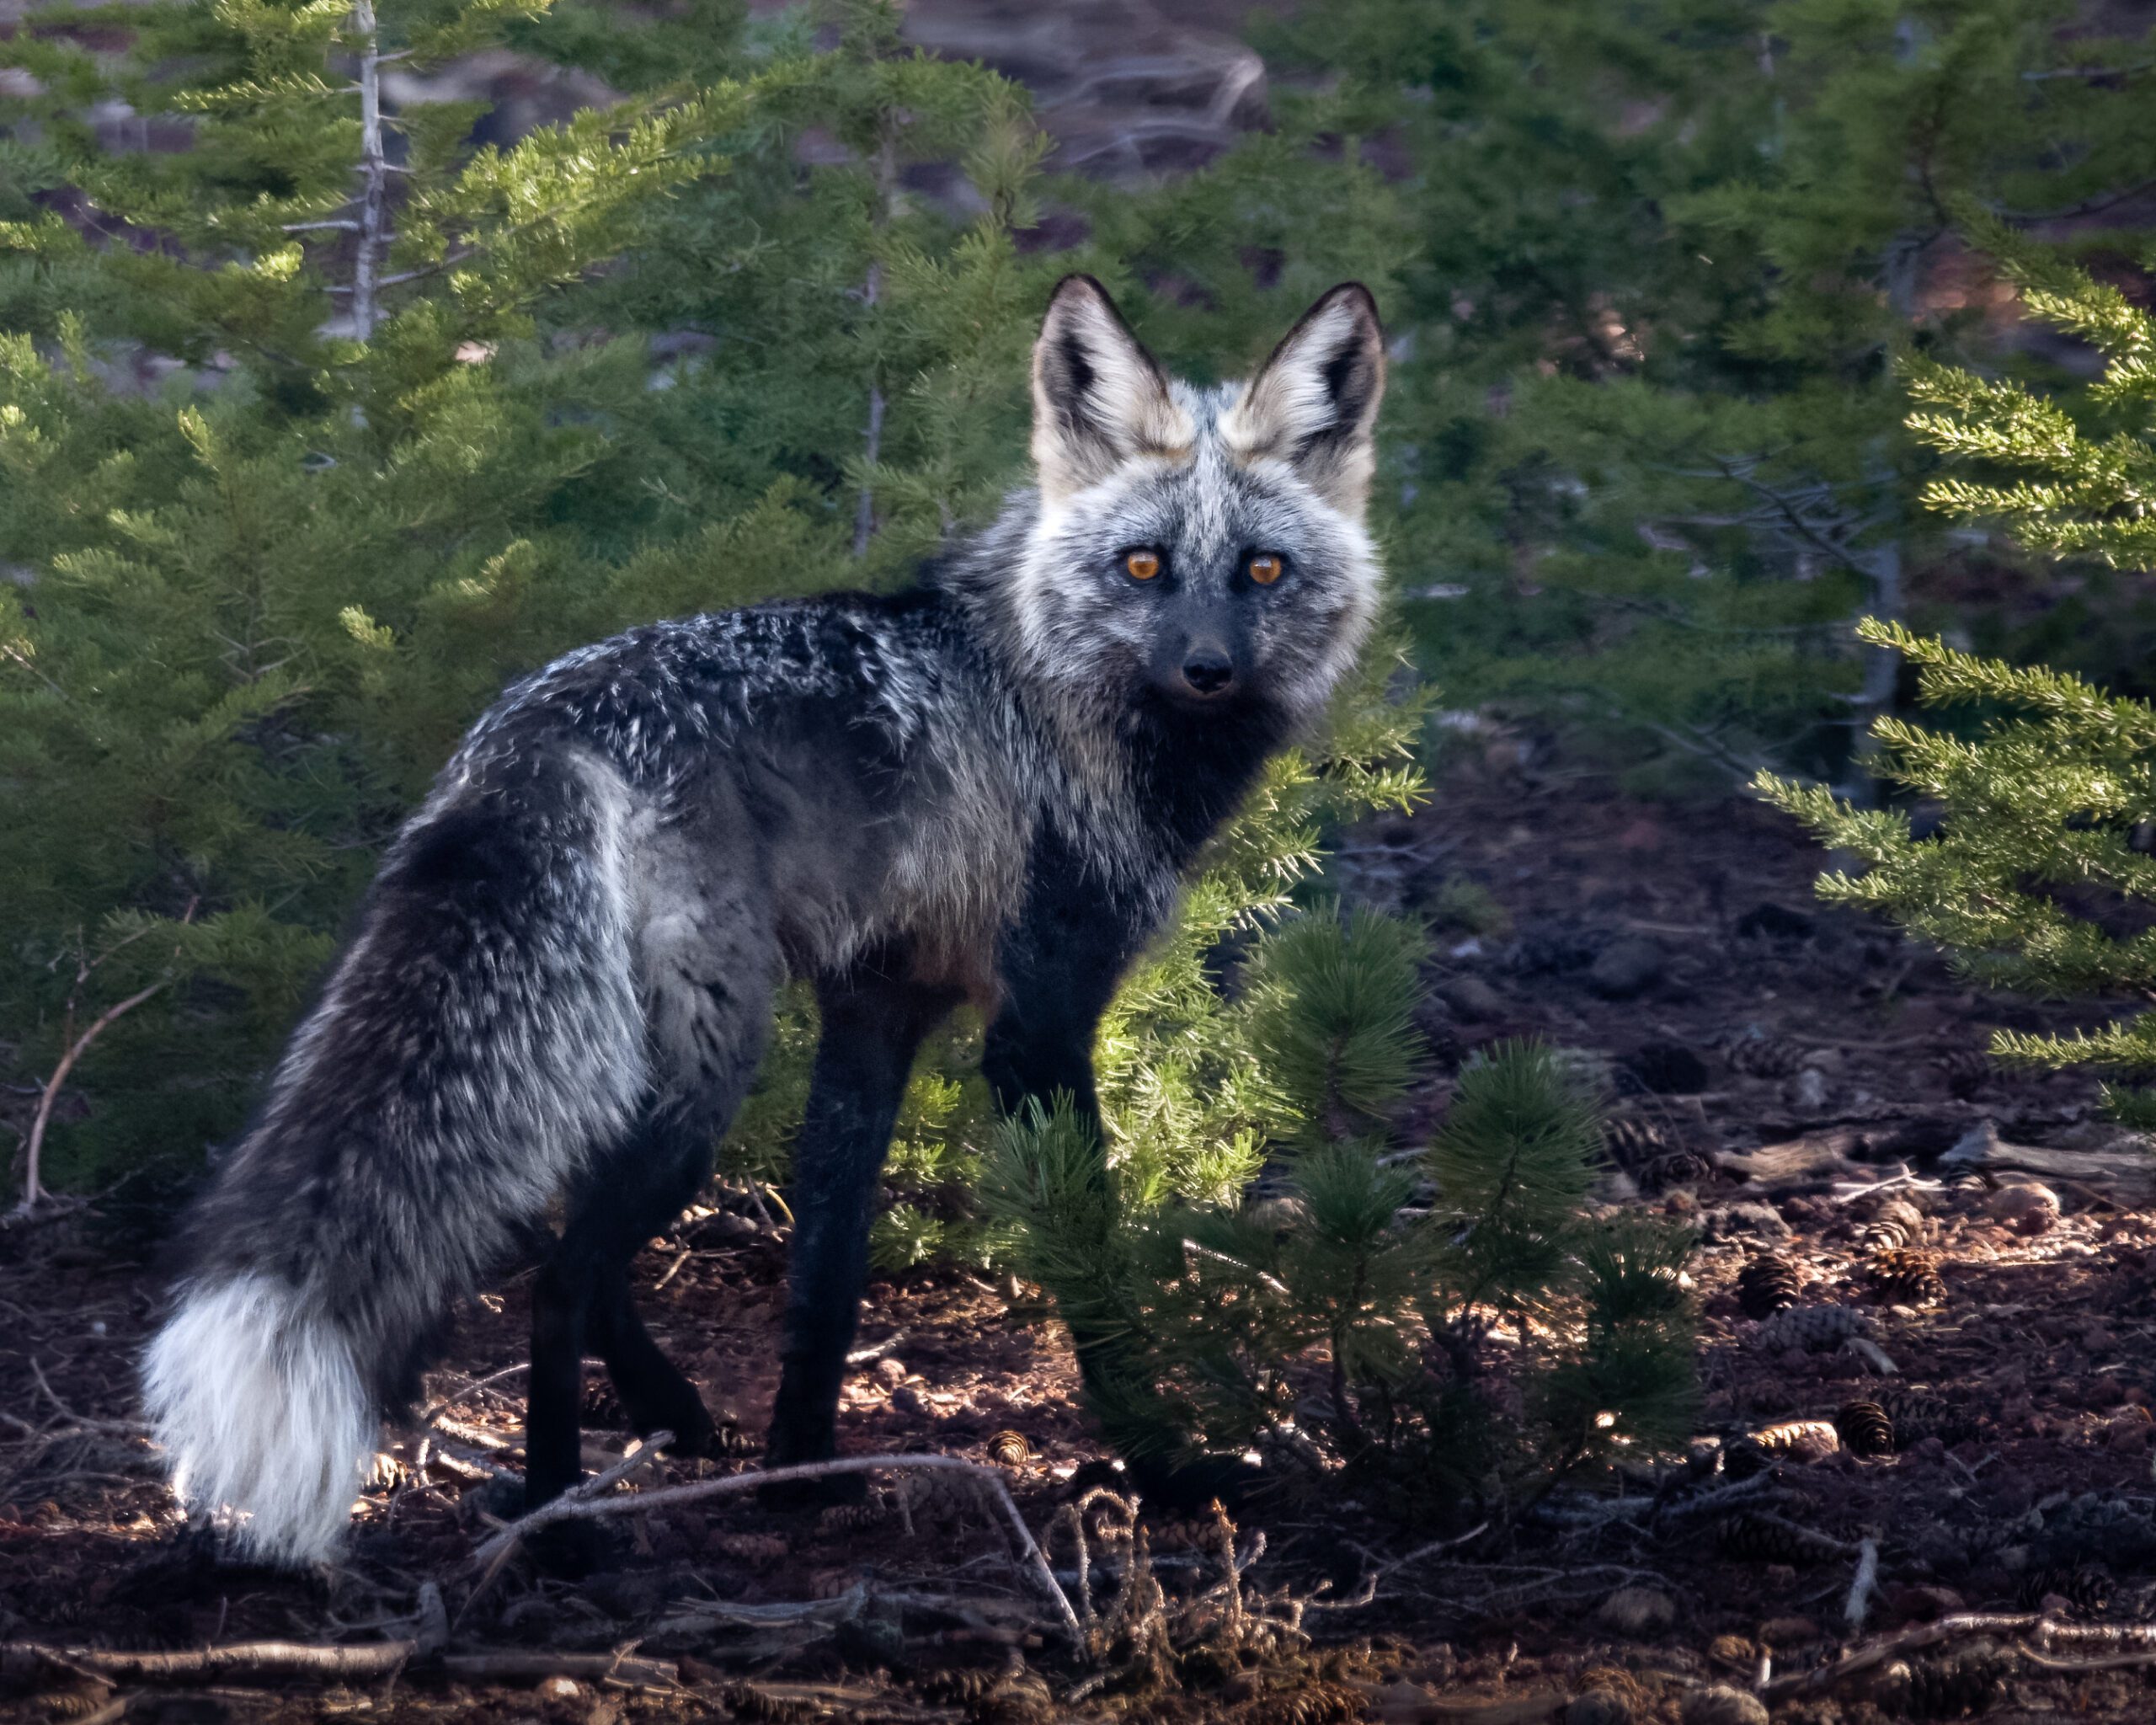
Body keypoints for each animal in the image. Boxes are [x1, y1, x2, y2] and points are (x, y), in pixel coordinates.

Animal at [142, 275, 1386, 1566]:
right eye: (1143, 567)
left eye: (1261, 573)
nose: (1207, 670)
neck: (1043, 689)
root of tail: (544, 723)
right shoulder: (1036, 1025)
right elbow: (1086, 1266)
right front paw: (1163, 1466)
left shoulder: (878, 1006)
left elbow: (825, 1271)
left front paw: (799, 1468)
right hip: (708, 1063)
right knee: (558, 1277)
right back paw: (555, 1511)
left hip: (640, 1052)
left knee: (565, 1246)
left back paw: (671, 1420)